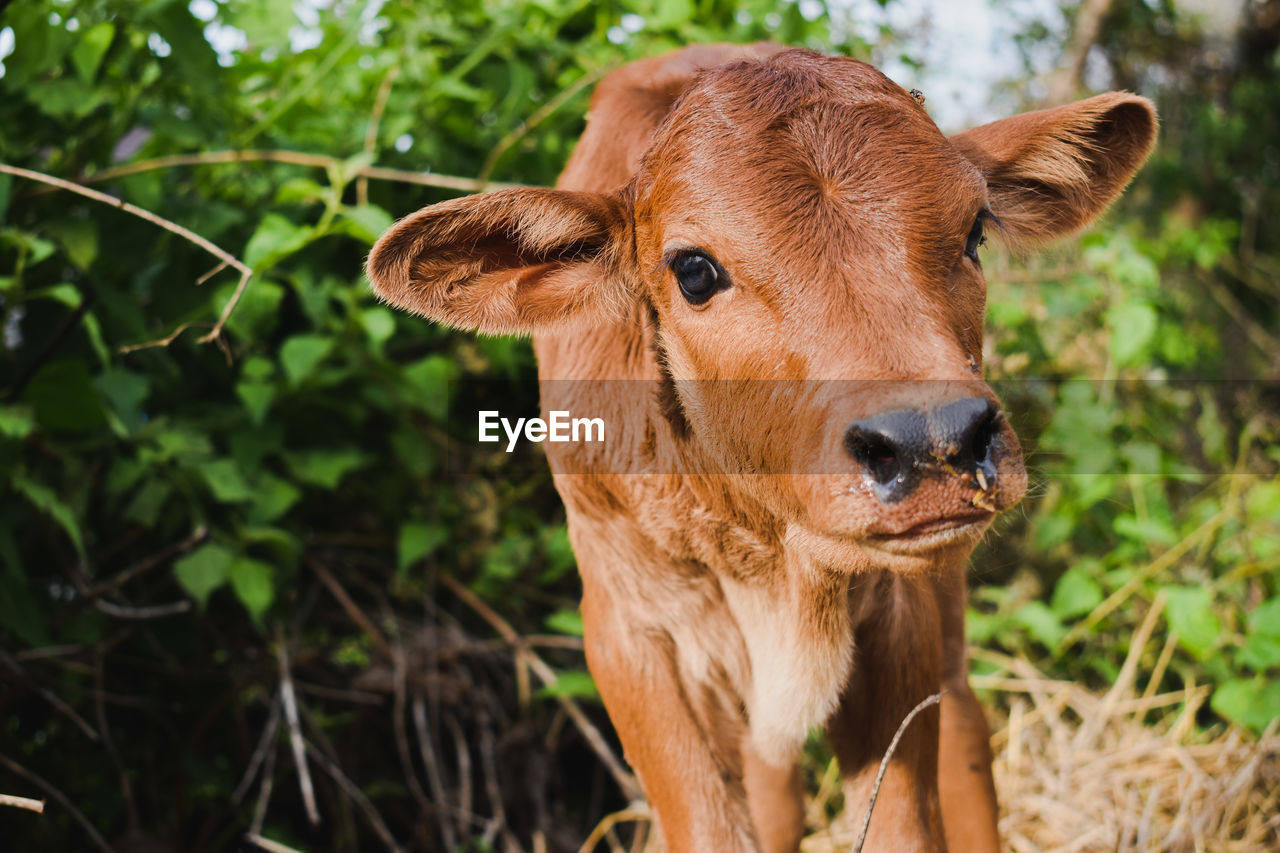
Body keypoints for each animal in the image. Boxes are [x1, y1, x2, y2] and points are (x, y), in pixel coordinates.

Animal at [366, 44, 1157, 850]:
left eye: (975, 233)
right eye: (693, 270)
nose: (935, 439)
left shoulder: (901, 617)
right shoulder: (630, 630)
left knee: (964, 727)